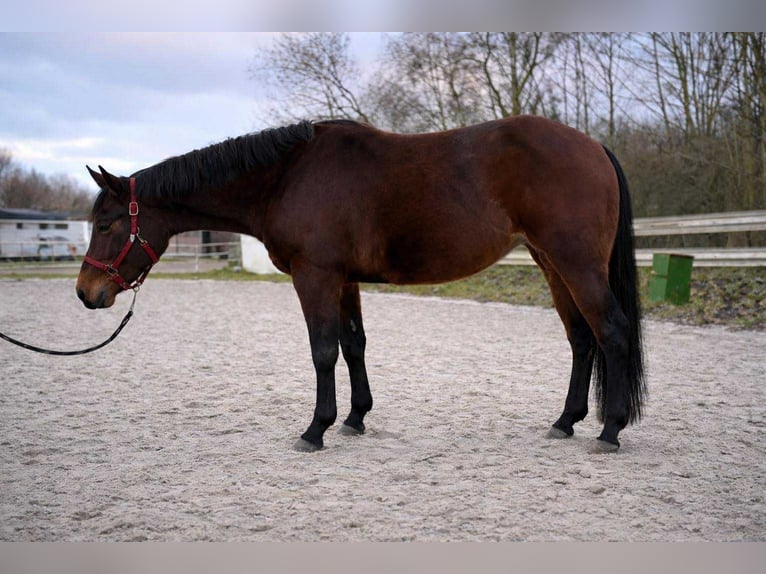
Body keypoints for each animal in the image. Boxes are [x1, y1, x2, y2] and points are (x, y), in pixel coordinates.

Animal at [76, 115, 646, 453]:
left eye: (105, 223)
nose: (86, 292)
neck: (288, 176)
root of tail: (593, 145)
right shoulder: (344, 280)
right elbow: (353, 346)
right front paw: (354, 418)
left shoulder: (316, 277)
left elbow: (323, 351)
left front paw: (316, 429)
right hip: (552, 264)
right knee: (581, 339)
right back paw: (566, 421)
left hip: (576, 264)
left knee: (612, 333)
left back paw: (610, 430)